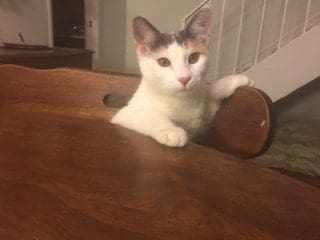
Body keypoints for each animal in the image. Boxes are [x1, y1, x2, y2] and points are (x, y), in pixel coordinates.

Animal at [111, 7, 254, 147]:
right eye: (163, 62)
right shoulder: (123, 114)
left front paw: (237, 80)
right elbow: (149, 114)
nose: (184, 79)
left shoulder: (200, 121)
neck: (179, 101)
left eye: (194, 58)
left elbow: (209, 94)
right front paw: (171, 131)